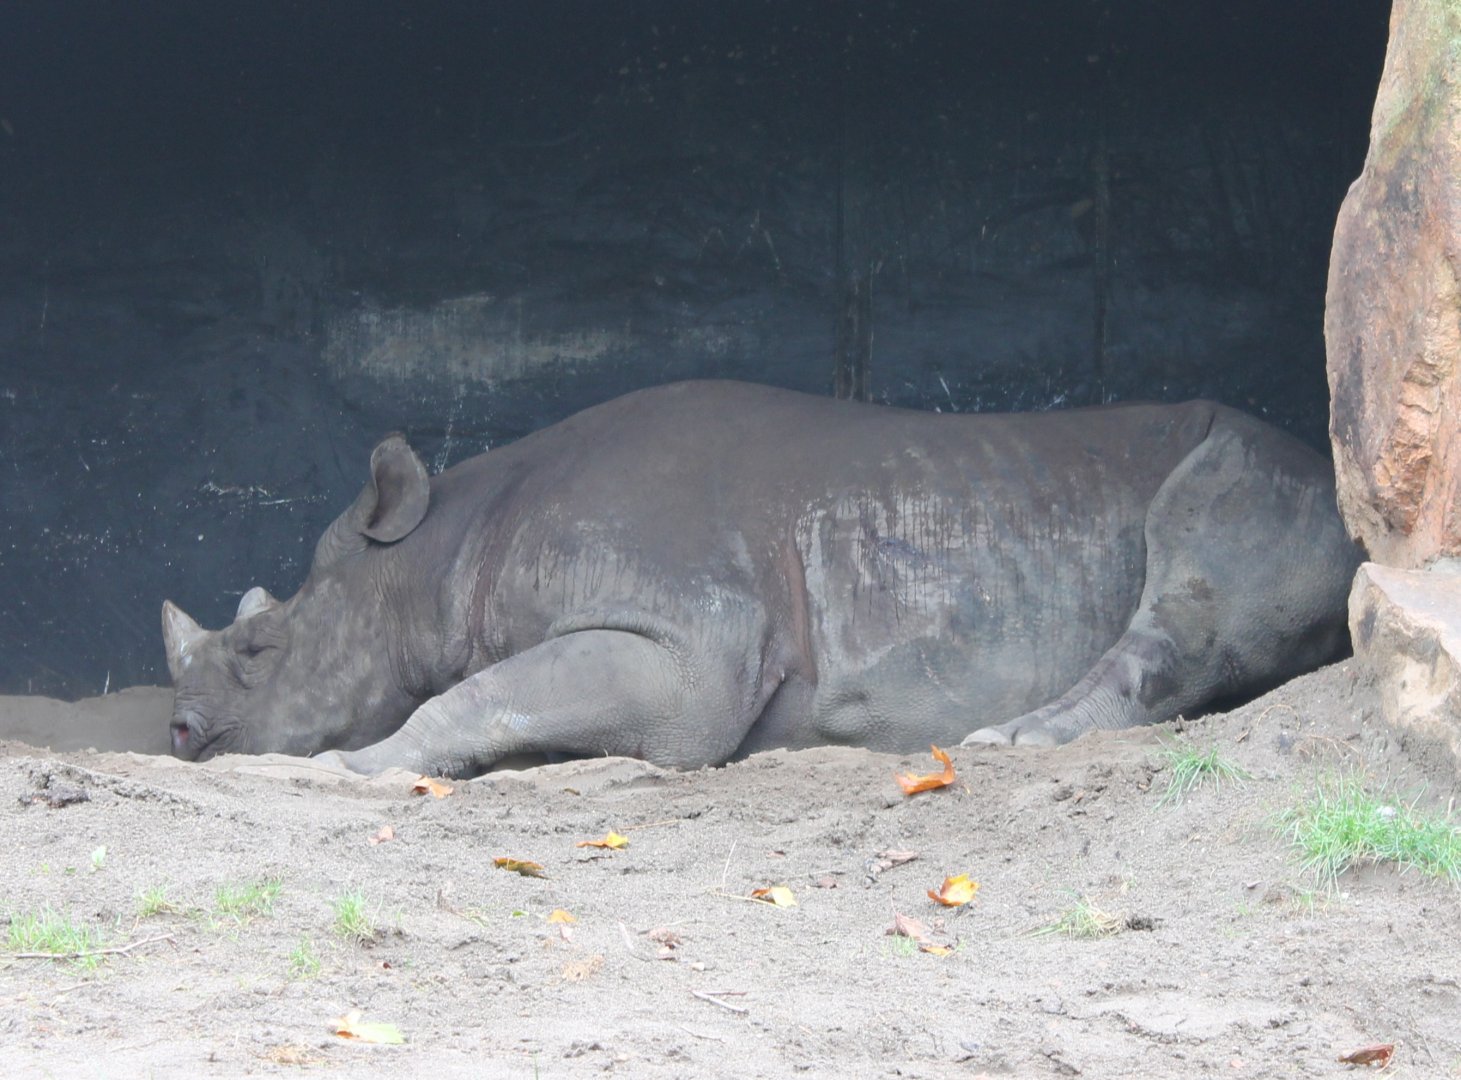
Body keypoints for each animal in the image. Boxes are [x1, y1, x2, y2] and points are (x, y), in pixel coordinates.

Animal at [162, 380, 1359, 778]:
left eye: (262, 652)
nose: (177, 732)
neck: (441, 553)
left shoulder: (689, 650)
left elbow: (477, 696)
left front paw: (354, 767)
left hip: (1273, 485)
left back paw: (1003, 744)